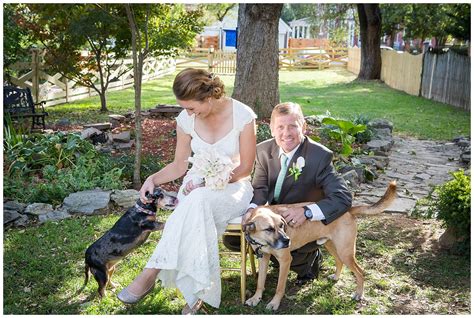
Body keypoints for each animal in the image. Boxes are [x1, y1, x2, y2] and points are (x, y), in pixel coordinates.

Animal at [244, 181, 396, 310]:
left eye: (282, 225)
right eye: (269, 229)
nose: (287, 241)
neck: (264, 241)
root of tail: (347, 210)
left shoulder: (285, 261)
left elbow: (280, 287)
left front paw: (275, 303)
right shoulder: (263, 258)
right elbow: (260, 282)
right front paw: (256, 298)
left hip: (345, 251)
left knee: (360, 272)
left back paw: (359, 294)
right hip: (331, 246)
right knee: (339, 262)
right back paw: (336, 277)